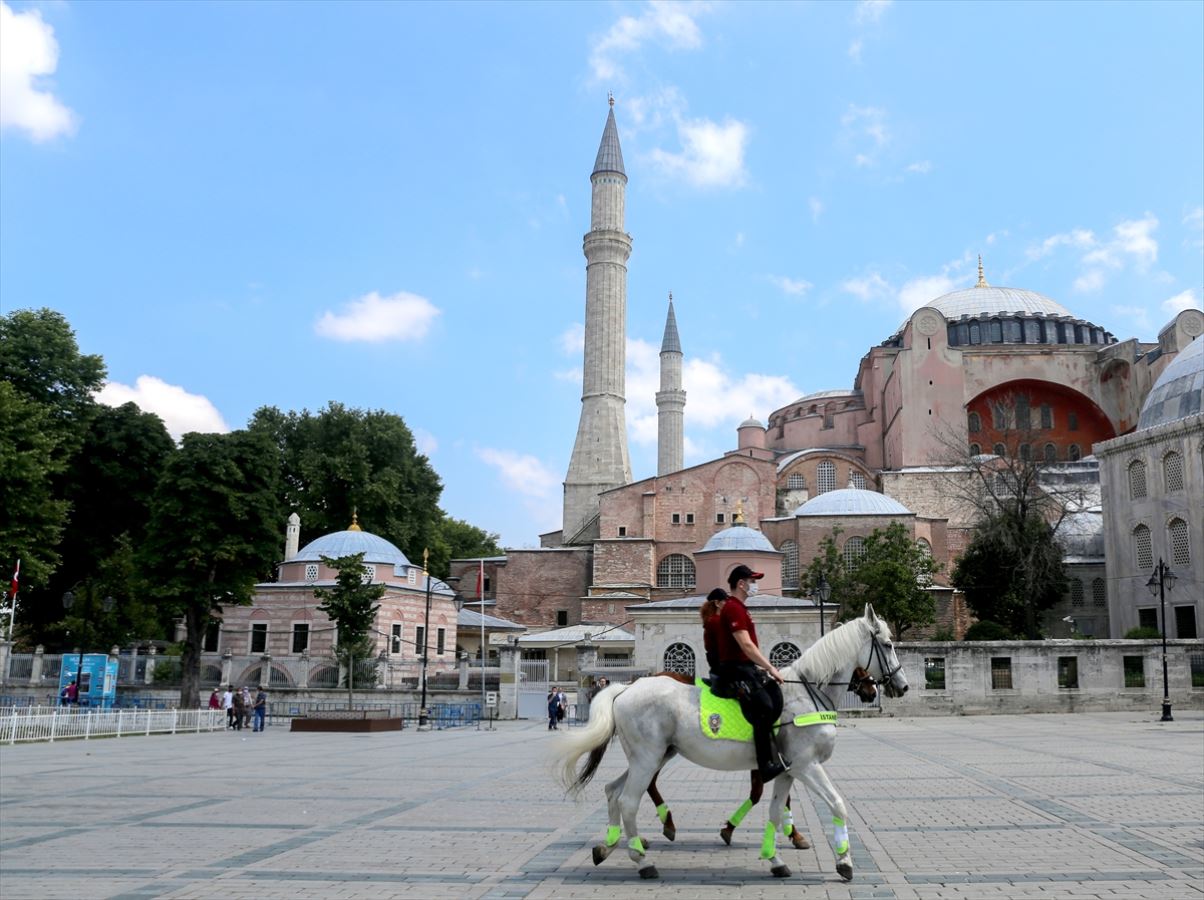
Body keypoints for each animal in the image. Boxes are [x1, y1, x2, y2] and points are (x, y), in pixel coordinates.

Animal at [551, 604, 905, 880]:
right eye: (888, 645)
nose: (900, 686)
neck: (806, 694)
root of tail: (626, 687)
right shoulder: (807, 766)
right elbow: (836, 804)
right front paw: (844, 862)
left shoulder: (787, 770)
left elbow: (775, 811)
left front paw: (775, 859)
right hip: (647, 758)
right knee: (628, 801)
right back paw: (642, 860)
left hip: (655, 755)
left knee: (613, 791)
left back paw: (608, 846)